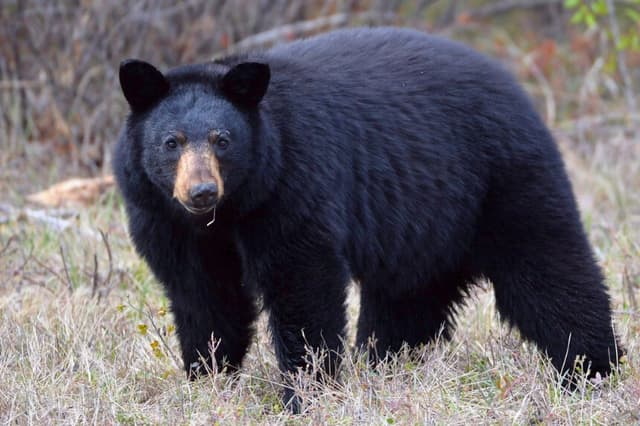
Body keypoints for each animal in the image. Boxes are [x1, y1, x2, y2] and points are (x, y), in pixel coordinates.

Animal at [114, 27, 621, 411]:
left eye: (223, 140)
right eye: (171, 142)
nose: (201, 192)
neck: (229, 212)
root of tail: (514, 87)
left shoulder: (291, 186)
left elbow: (302, 283)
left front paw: (305, 393)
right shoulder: (166, 221)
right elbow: (204, 296)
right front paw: (208, 379)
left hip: (504, 182)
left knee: (549, 273)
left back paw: (594, 370)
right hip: (424, 227)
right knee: (406, 303)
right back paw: (388, 365)